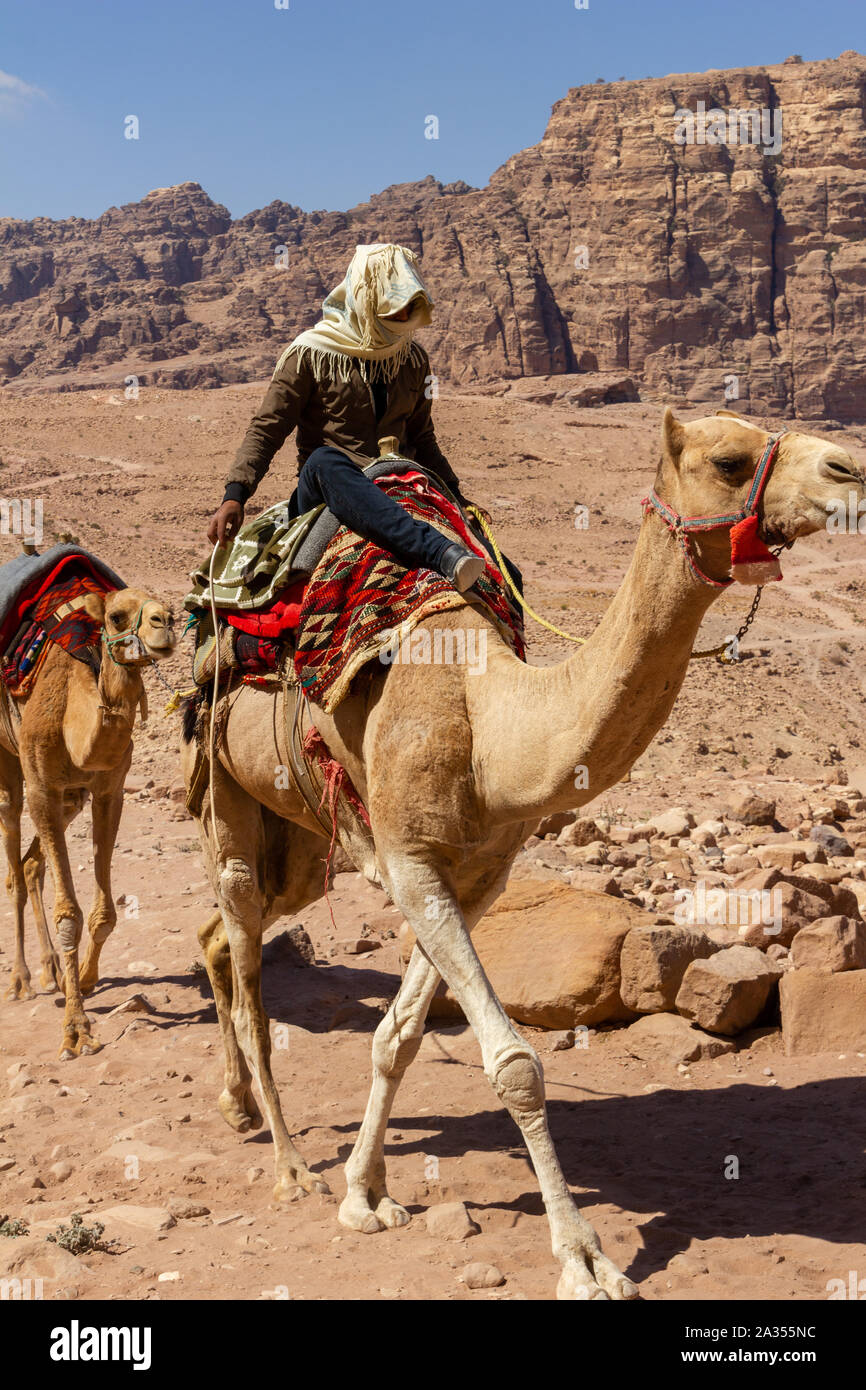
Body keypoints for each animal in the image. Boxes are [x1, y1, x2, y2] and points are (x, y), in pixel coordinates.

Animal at [0, 585, 176, 1058]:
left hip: (72, 797)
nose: (165, 625)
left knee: (31, 864)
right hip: (11, 765)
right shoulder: (41, 786)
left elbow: (104, 914)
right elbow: (69, 916)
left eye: (170, 611)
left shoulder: (107, 789)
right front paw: (76, 1031)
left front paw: (82, 978)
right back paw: (21, 980)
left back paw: (52, 973)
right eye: (116, 617)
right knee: (13, 858)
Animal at [182, 408, 865, 1300]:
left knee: (224, 935)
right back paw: (290, 1164)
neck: (490, 724)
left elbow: (398, 1034)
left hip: (297, 834)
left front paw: (366, 1194)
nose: (849, 471)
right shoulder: (413, 863)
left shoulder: (474, 876)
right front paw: (585, 1259)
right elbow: (514, 1064)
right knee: (246, 961)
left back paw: (239, 1109)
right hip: (224, 785)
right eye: (728, 459)